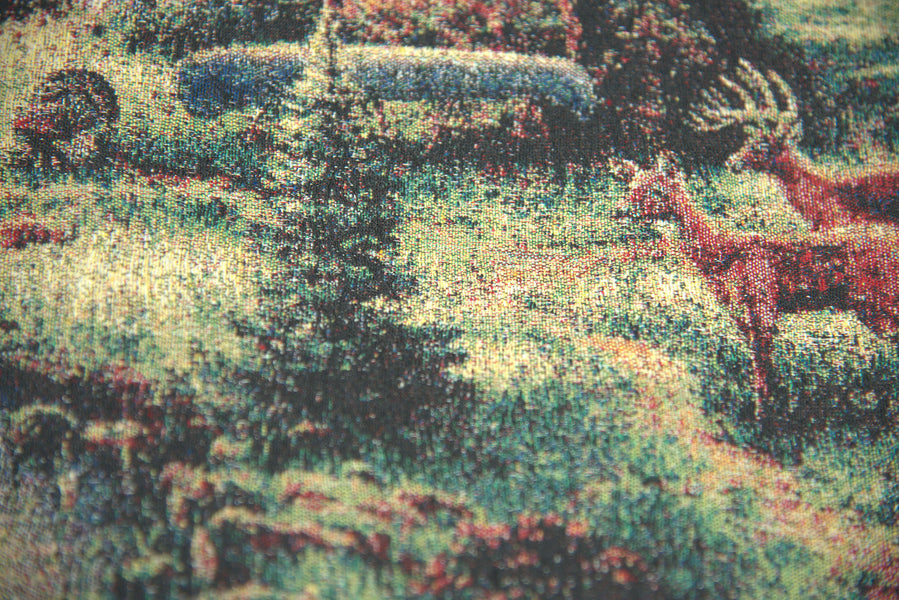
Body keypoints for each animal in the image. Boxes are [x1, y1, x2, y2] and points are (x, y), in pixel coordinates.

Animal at [620, 157, 899, 425]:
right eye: (633, 185)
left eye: (657, 191)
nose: (622, 209)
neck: (720, 253)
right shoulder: (739, 311)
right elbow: (757, 360)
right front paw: (762, 413)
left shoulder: (762, 302)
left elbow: (763, 356)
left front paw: (765, 419)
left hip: (880, 301)